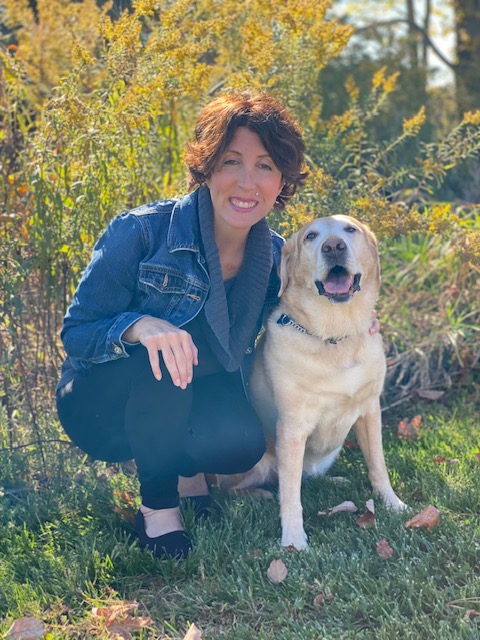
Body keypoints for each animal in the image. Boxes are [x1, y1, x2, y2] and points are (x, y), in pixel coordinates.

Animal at [219, 215, 404, 552]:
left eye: (350, 230)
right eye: (311, 237)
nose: (334, 247)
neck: (335, 336)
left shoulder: (370, 411)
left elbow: (378, 466)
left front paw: (393, 504)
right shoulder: (293, 428)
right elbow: (291, 494)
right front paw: (293, 539)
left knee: (308, 475)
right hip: (256, 460)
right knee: (234, 487)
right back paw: (259, 495)